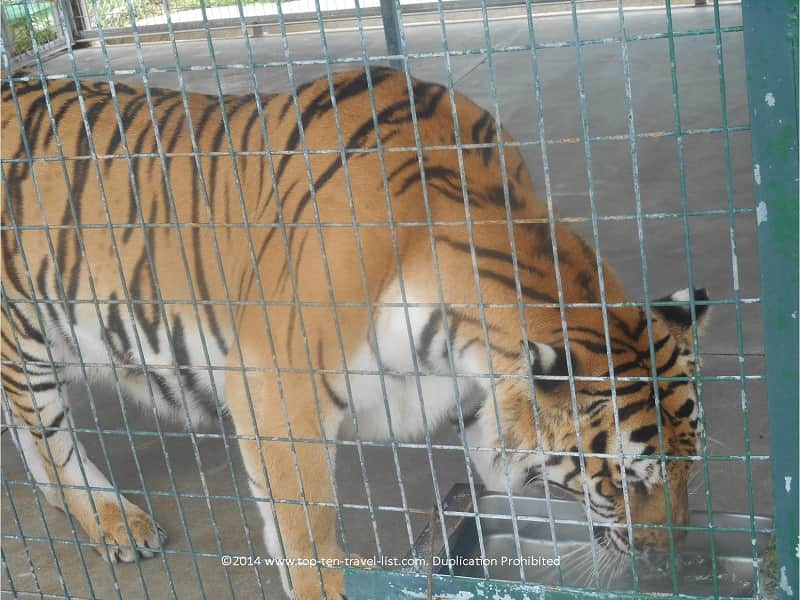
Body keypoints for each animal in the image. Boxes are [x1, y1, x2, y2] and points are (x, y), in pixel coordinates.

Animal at [1, 67, 709, 599]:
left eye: (690, 468)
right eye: (628, 482)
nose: (667, 557)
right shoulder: (277, 386)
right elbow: (305, 523)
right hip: (27, 331)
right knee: (49, 435)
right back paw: (111, 520)